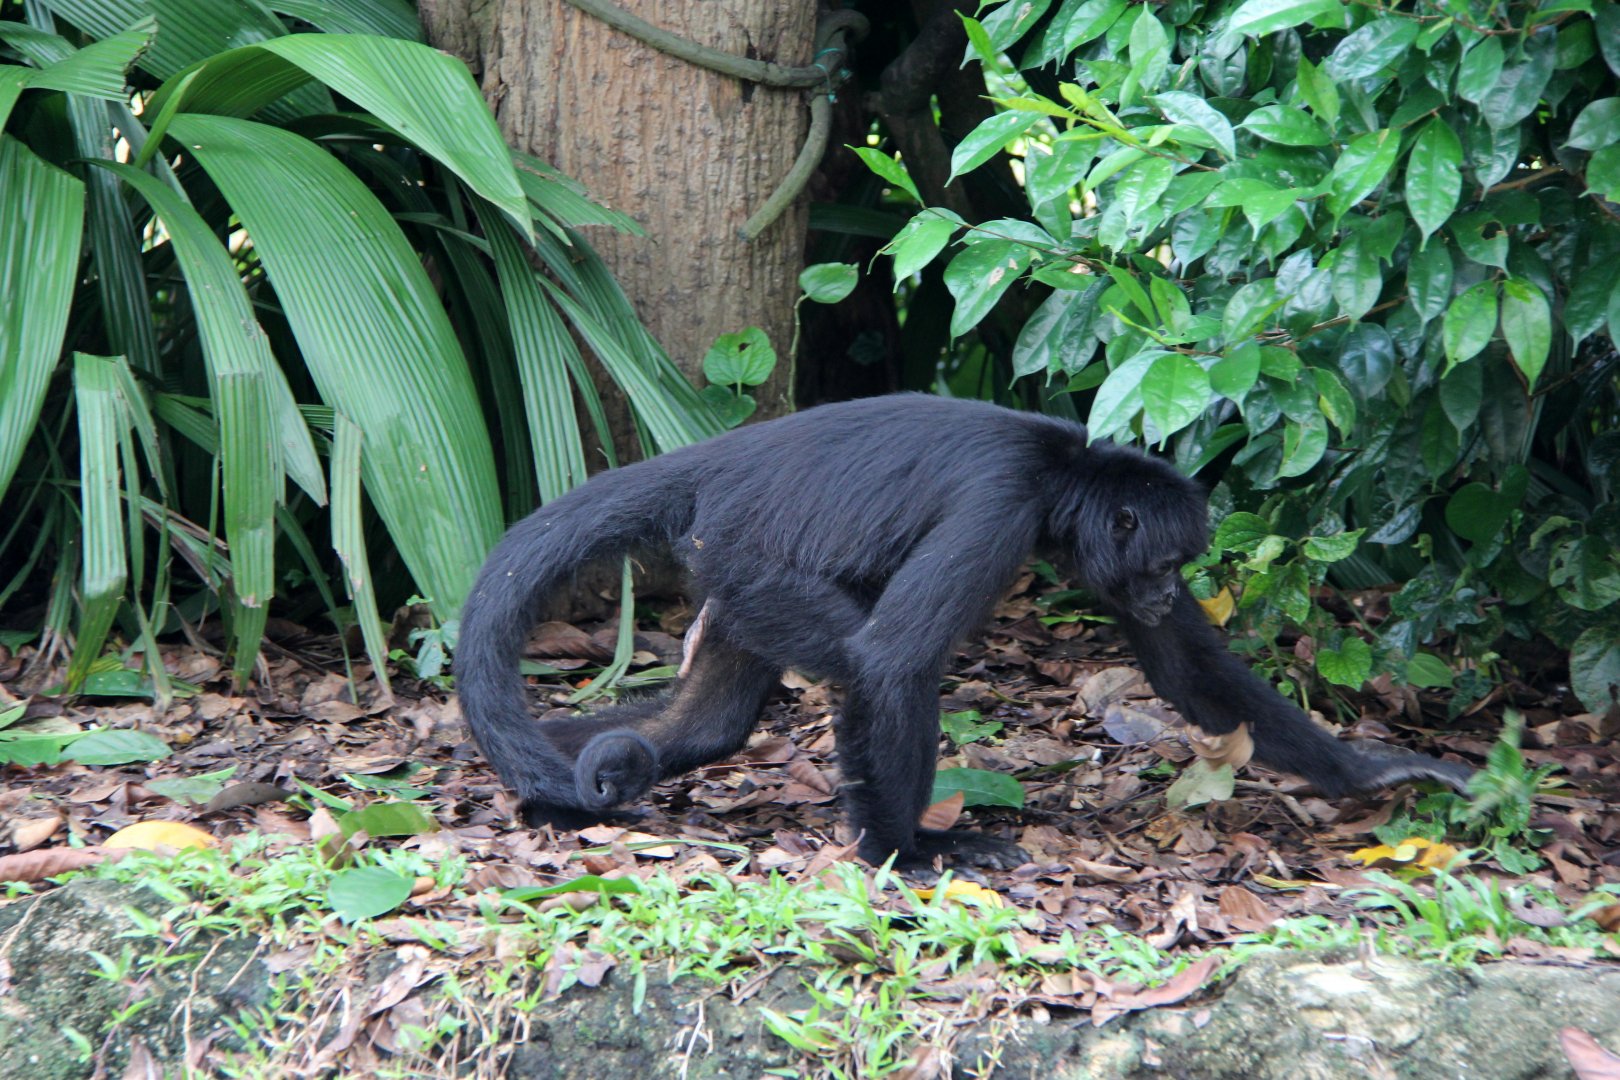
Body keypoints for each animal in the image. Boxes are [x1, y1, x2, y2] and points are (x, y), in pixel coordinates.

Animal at [454, 395, 1472, 870]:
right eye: (1166, 561)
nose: (1163, 591)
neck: (1060, 468)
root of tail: (720, 461)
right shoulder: (1000, 505)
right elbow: (892, 658)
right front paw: (908, 856)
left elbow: (1188, 670)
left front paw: (1374, 774)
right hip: (751, 560)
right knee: (864, 663)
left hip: (731, 577)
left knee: (704, 725)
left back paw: (560, 791)